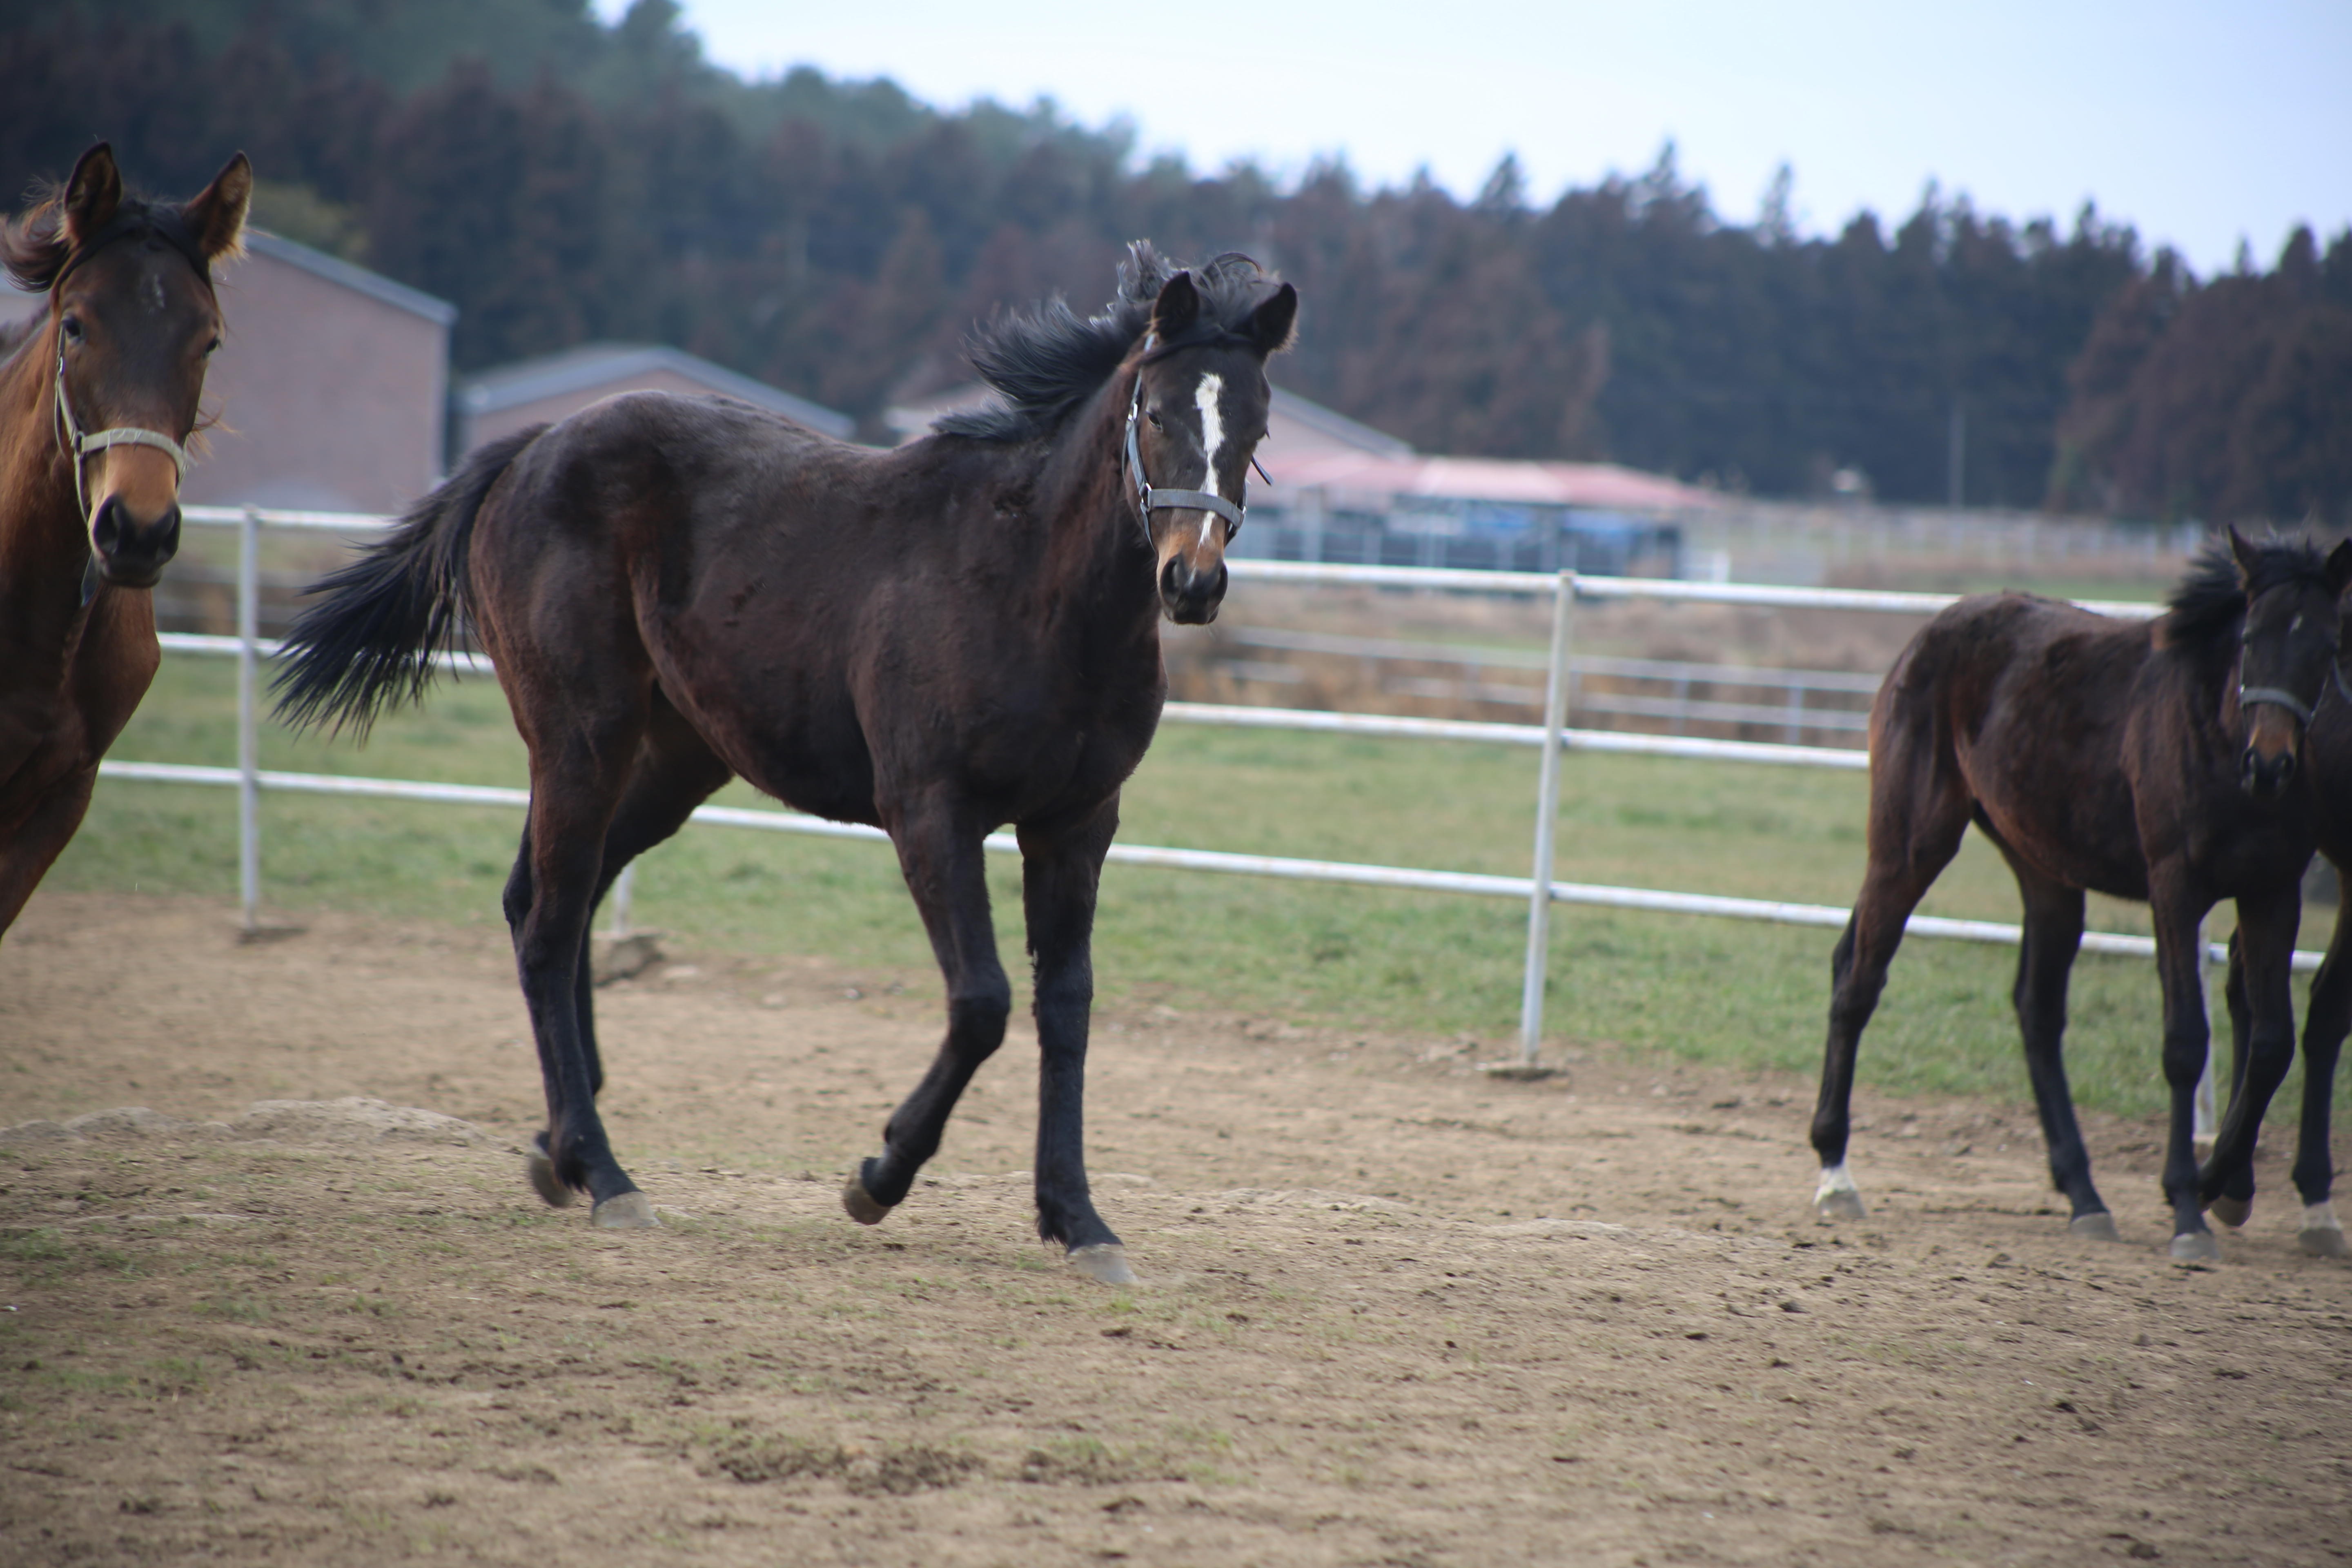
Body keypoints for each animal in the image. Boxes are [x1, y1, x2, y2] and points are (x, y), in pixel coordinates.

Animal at [277, 240, 1307, 1278]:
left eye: (1257, 424)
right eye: (1157, 411)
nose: (1191, 582)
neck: (1032, 589)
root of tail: (529, 448)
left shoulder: (1077, 825)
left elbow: (1067, 1009)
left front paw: (1080, 1220)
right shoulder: (930, 809)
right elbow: (982, 1001)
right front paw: (878, 1176)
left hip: (671, 764)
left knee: (550, 898)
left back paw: (556, 1145)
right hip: (578, 736)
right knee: (550, 922)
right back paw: (603, 1172)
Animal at [1815, 533, 2352, 1269]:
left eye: (2328, 647)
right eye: (2250, 637)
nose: (2269, 765)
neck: (2214, 733)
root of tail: (1927, 634)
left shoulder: (2273, 890)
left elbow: (2273, 1040)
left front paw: (2220, 1186)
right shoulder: (2175, 888)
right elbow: (2186, 1041)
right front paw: (2189, 1207)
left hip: (2045, 872)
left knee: (2036, 1010)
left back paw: (2086, 1197)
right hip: (1910, 844)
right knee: (1858, 978)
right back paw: (1835, 1175)